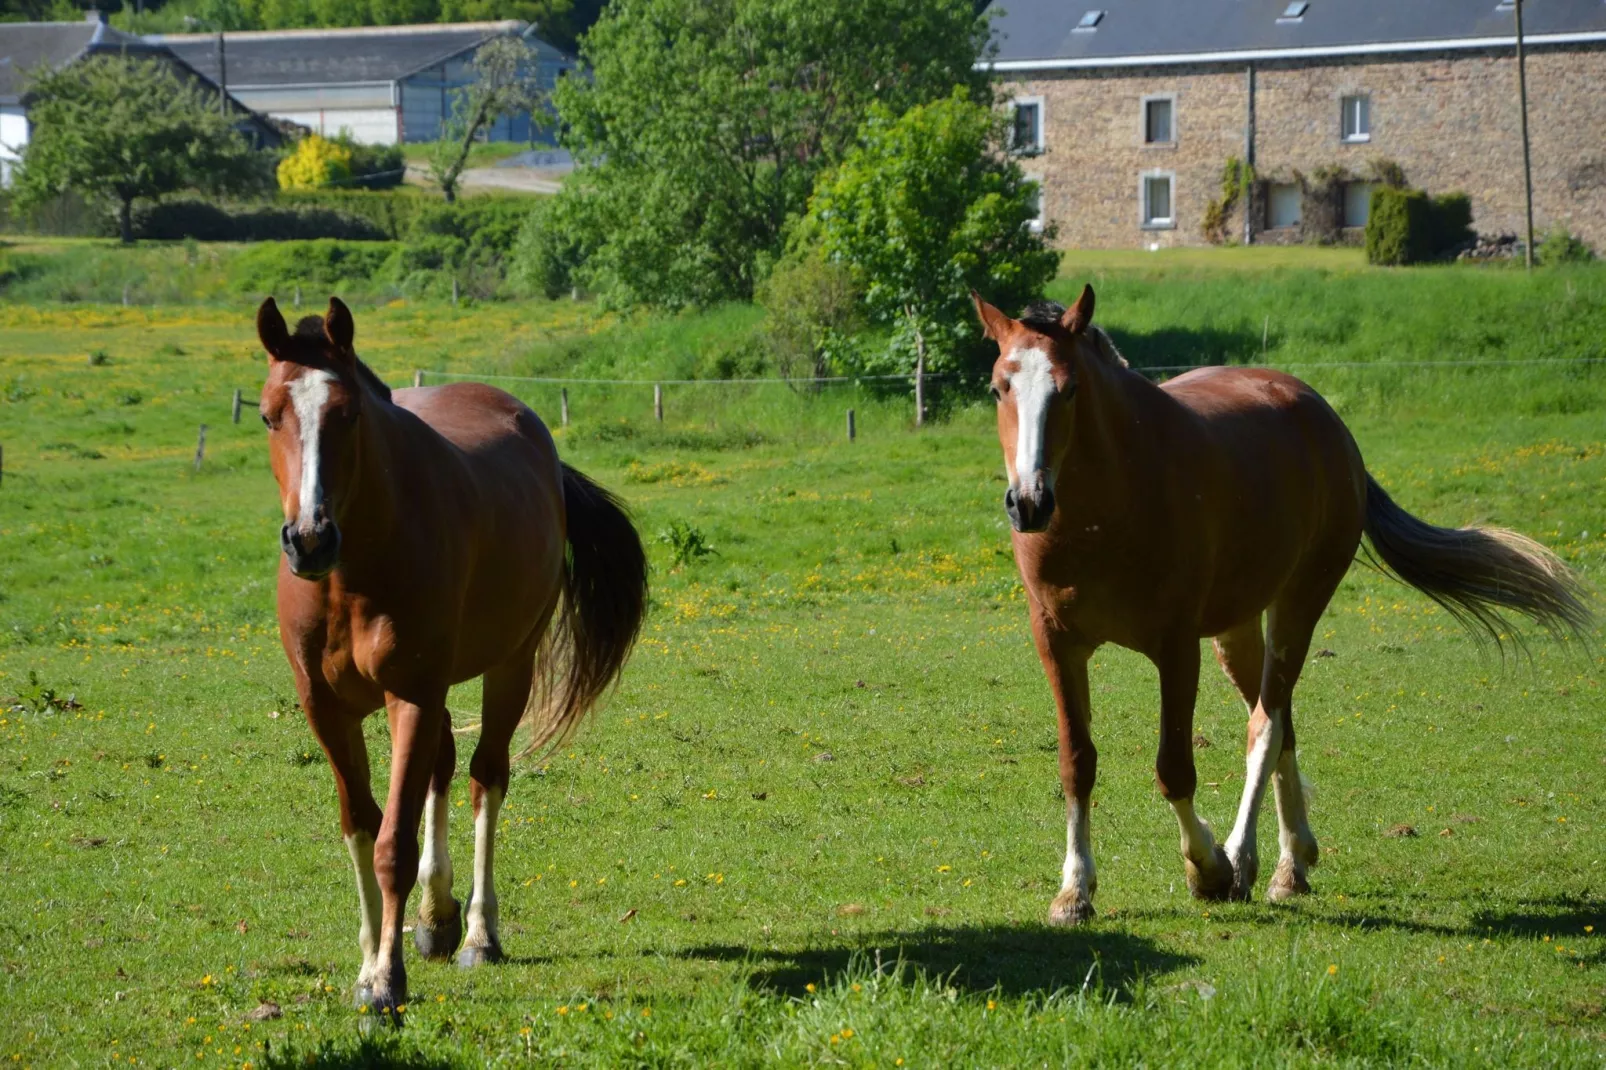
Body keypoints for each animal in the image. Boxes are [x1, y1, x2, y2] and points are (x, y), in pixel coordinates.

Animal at [256, 295, 645, 1015]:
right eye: (269, 415)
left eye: (348, 413)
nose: (310, 539)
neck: (351, 576)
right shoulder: (325, 709)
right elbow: (361, 825)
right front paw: (370, 963)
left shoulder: (411, 692)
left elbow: (393, 844)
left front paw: (386, 982)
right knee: (441, 766)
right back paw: (435, 920)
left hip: (510, 666)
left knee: (484, 776)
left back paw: (478, 936)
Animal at [970, 285, 1586, 925]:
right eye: (999, 388)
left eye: (1069, 389)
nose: (1028, 503)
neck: (1104, 507)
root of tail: (1324, 416)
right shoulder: (1057, 642)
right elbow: (1077, 763)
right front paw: (1074, 892)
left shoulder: (1176, 647)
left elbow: (1175, 769)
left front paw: (1209, 868)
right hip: (1237, 630)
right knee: (1281, 721)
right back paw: (1295, 862)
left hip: (1297, 607)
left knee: (1265, 728)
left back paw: (1252, 861)